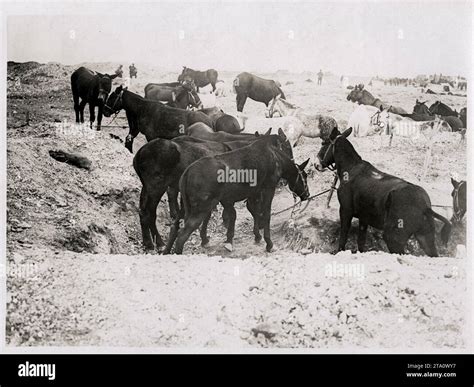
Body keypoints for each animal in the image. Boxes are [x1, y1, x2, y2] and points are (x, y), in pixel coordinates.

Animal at [165, 132, 310, 256]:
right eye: (305, 176)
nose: (307, 194)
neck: (277, 159)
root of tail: (186, 174)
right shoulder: (268, 188)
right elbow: (265, 214)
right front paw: (269, 243)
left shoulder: (253, 192)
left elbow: (254, 212)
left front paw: (256, 236)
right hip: (201, 208)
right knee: (182, 235)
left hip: (187, 207)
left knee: (175, 227)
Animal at [314, 126, 452, 258]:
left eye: (323, 143)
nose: (316, 164)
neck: (351, 168)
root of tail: (424, 206)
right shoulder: (364, 218)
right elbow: (361, 241)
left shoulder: (345, 211)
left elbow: (343, 234)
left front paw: (338, 251)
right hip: (424, 237)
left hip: (394, 238)